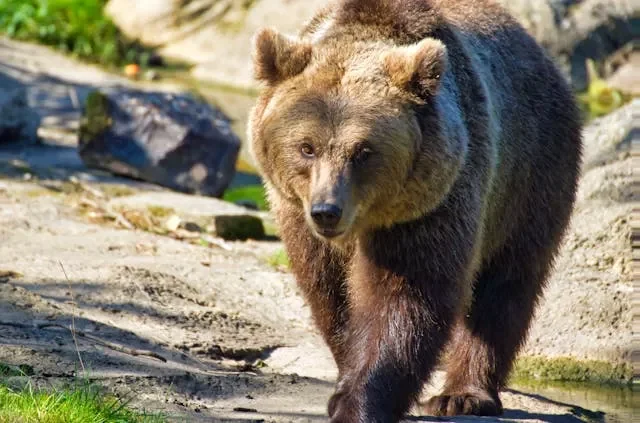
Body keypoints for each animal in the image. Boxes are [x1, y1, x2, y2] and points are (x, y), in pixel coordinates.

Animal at [247, 0, 582, 421]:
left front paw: (359, 401)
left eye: (364, 151)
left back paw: (463, 394)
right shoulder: (298, 218)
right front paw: (345, 379)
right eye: (306, 147)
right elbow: (329, 293)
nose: (327, 211)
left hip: (530, 176)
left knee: (506, 283)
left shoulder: (433, 202)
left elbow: (406, 296)